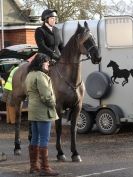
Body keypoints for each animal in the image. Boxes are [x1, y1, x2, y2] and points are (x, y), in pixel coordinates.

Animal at [12, 21, 101, 162]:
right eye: (86, 40)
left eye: (94, 38)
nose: (98, 58)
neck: (69, 78)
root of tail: (18, 68)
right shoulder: (58, 107)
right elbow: (59, 129)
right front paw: (60, 153)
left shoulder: (77, 107)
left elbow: (73, 129)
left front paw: (75, 153)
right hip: (18, 100)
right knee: (18, 121)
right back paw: (17, 147)